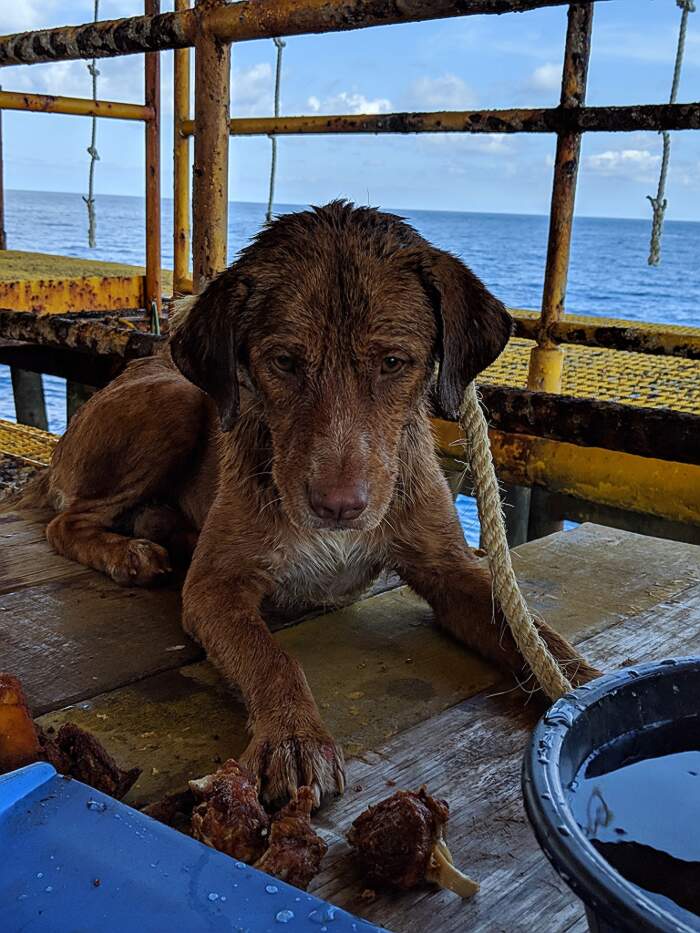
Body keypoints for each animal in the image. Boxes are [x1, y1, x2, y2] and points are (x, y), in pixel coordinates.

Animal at [35, 204, 600, 808]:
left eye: (394, 361)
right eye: (284, 361)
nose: (338, 508)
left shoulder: (450, 569)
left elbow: (532, 632)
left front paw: (584, 683)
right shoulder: (215, 587)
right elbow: (270, 655)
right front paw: (293, 735)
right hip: (176, 400)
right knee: (64, 521)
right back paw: (129, 553)